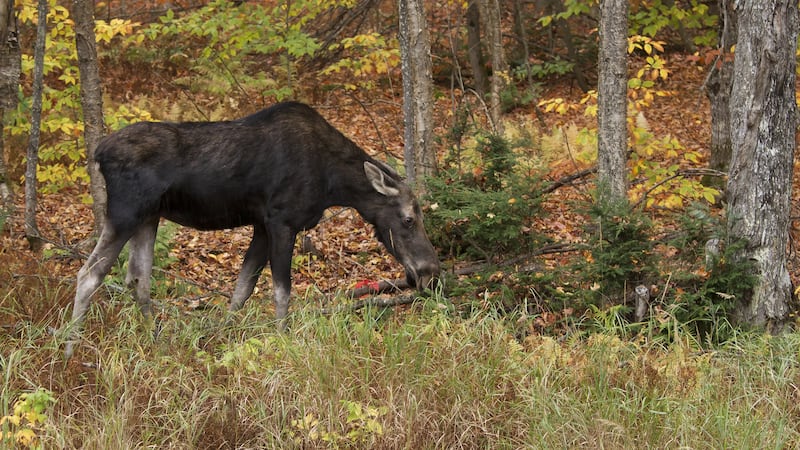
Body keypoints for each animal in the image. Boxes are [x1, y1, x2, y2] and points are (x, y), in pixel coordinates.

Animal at [64, 101, 440, 358]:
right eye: (409, 219)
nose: (429, 270)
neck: (333, 184)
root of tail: (99, 153)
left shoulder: (260, 225)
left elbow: (242, 289)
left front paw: (222, 339)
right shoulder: (281, 221)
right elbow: (281, 292)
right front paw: (284, 341)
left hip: (148, 217)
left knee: (138, 278)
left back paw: (155, 342)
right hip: (125, 213)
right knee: (89, 275)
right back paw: (69, 349)